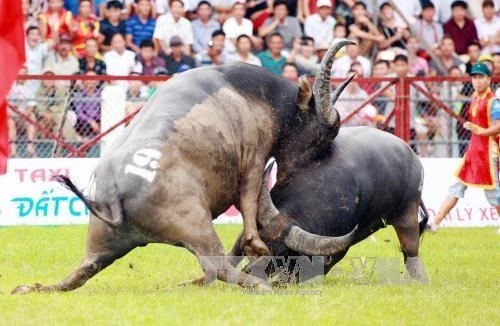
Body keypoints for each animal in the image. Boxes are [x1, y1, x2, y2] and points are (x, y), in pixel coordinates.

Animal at [11, 40, 356, 292]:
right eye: (325, 132)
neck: (250, 94)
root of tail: (115, 196)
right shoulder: (254, 160)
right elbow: (248, 202)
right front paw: (257, 245)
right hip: (197, 226)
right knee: (217, 266)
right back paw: (260, 285)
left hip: (101, 245)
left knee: (80, 274)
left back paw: (33, 288)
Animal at [230, 126, 430, 284]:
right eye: (261, 240)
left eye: (282, 253)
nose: (249, 271)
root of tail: (415, 159)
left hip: (407, 215)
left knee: (410, 252)